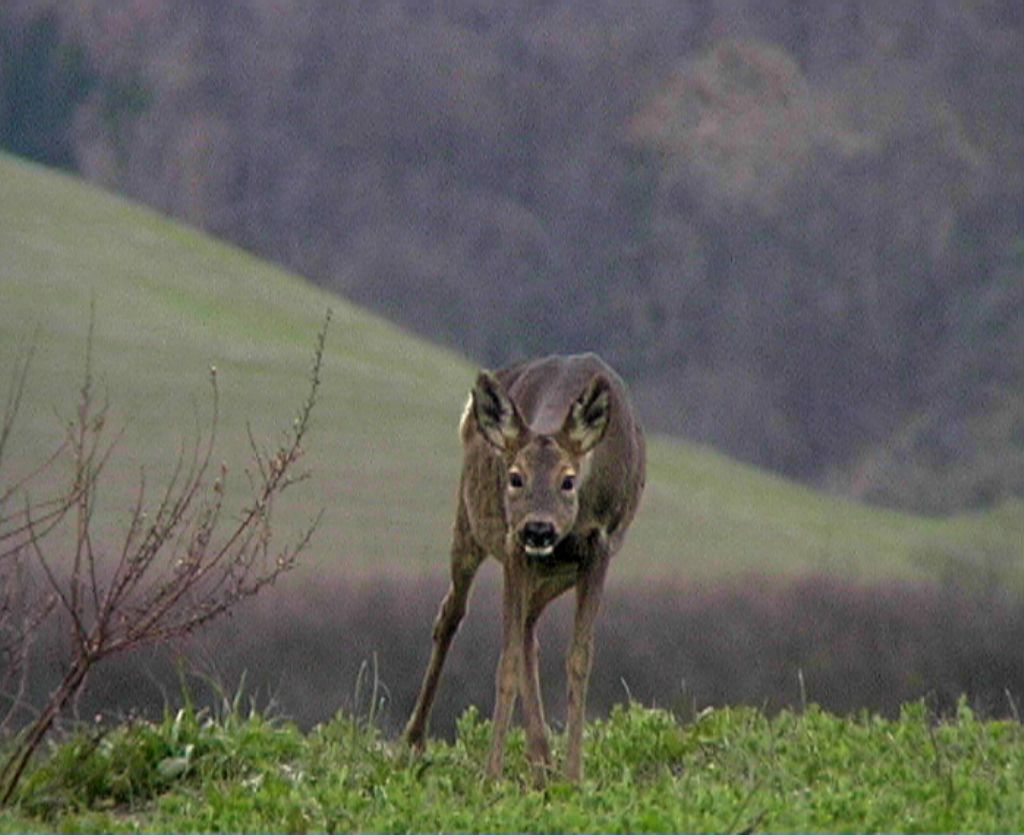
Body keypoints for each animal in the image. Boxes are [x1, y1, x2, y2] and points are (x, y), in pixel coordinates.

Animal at [403, 350, 643, 778]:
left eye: (568, 480)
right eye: (515, 477)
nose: (539, 528)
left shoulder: (598, 545)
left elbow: (579, 657)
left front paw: (573, 775)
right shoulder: (513, 545)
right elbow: (508, 661)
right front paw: (490, 775)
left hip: (555, 571)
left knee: (530, 628)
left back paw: (542, 760)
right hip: (470, 525)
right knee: (451, 614)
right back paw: (414, 740)